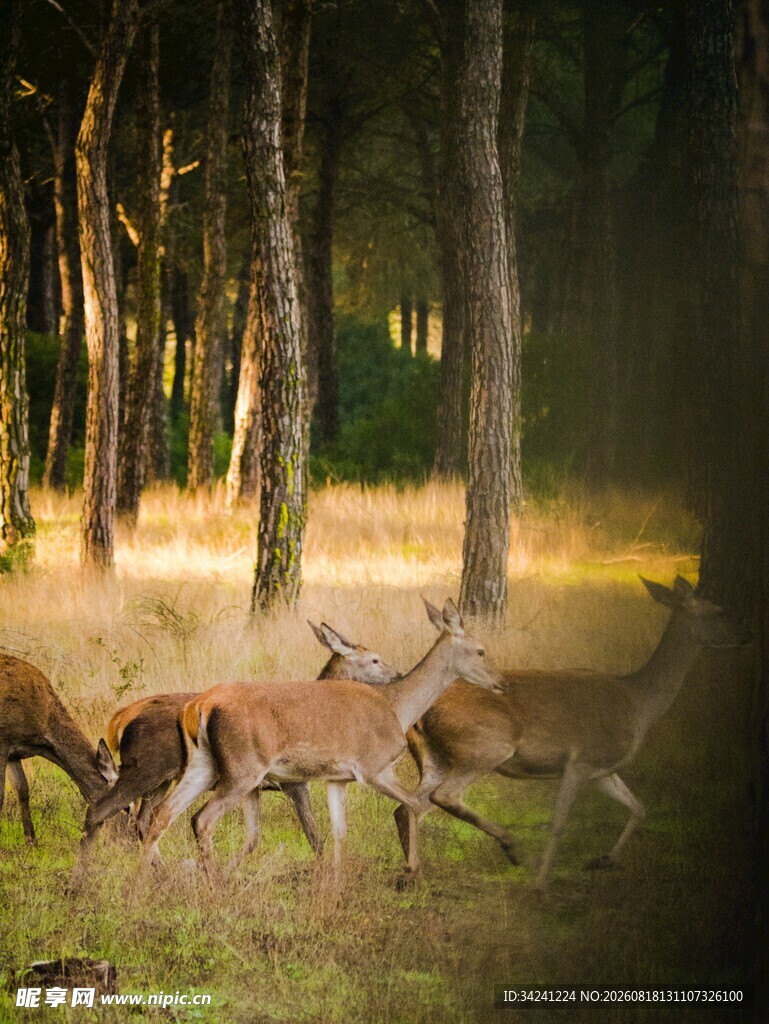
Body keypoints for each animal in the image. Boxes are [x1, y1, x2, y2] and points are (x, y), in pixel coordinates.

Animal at [0, 654, 117, 845]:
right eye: (127, 807)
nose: (133, 841)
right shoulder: (3, 741)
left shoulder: (14, 751)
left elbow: (22, 790)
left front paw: (31, 842)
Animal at [81, 622, 400, 859]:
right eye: (374, 659)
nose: (397, 673)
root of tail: (121, 718)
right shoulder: (295, 783)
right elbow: (314, 837)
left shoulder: (257, 788)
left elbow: (255, 838)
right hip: (145, 768)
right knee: (104, 809)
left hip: (162, 780)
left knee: (145, 820)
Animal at [140, 599, 501, 883]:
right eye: (481, 650)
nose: (499, 682)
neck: (397, 709)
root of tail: (198, 706)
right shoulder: (373, 767)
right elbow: (411, 804)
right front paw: (412, 870)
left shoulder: (337, 777)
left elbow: (338, 829)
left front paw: (334, 882)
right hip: (243, 768)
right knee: (201, 818)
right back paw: (213, 885)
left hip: (203, 765)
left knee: (161, 814)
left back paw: (145, 882)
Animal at [395, 578, 744, 891]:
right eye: (718, 610)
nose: (746, 634)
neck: (640, 704)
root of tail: (419, 717)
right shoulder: (583, 758)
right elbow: (560, 821)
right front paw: (540, 885)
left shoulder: (603, 769)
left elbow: (639, 807)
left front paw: (603, 860)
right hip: (485, 748)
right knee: (443, 797)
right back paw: (514, 851)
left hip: (436, 758)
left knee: (409, 806)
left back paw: (412, 874)